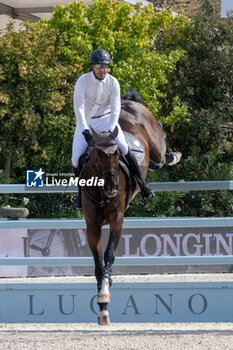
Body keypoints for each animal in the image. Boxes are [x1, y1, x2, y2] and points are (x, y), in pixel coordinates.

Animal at [81, 91, 167, 326]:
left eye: (117, 155)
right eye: (96, 155)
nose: (112, 187)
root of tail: (128, 103)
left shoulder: (117, 218)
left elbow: (109, 254)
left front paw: (105, 291)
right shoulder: (92, 224)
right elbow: (98, 263)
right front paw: (102, 306)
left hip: (156, 145)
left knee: (162, 150)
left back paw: (172, 155)